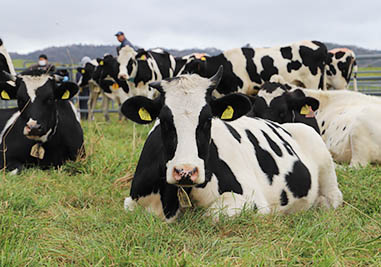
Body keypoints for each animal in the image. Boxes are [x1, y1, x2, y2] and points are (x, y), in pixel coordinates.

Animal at [121, 66, 342, 222]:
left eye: (208, 119)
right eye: (165, 120)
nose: (186, 171)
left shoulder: (253, 201)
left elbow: (212, 214)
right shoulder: (131, 201)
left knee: (332, 199)